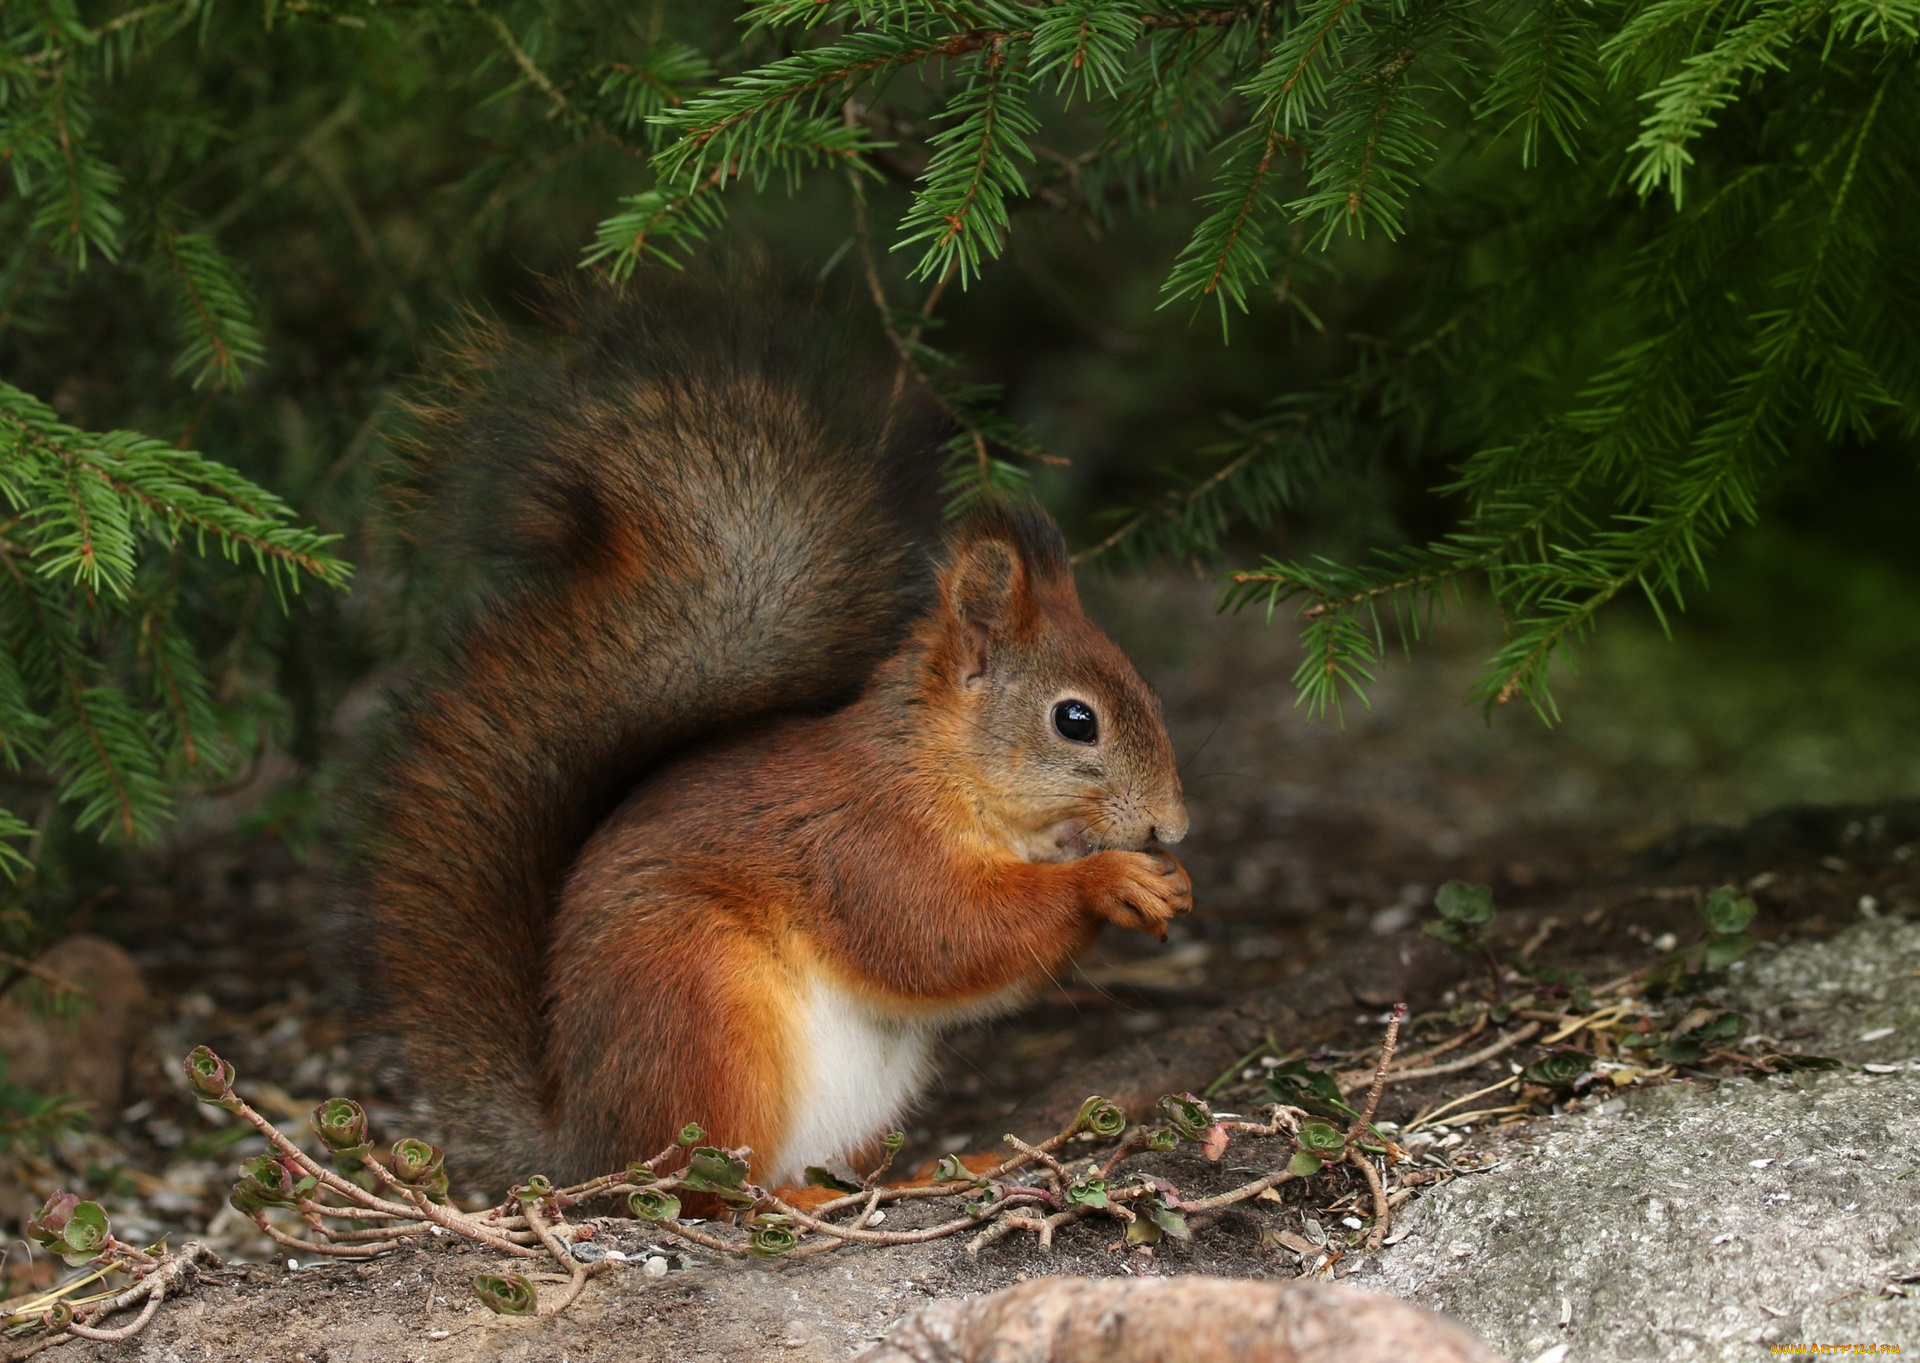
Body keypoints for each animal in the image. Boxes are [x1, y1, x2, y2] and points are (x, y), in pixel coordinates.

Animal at [360, 287, 1190, 1197]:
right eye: (1076, 720)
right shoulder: (862, 844)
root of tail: (584, 1144)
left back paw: (924, 1174)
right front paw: (1109, 879)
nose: (1175, 826)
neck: (944, 771)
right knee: (705, 1189)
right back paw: (800, 1197)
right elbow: (940, 934)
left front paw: (1164, 880)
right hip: (701, 1008)